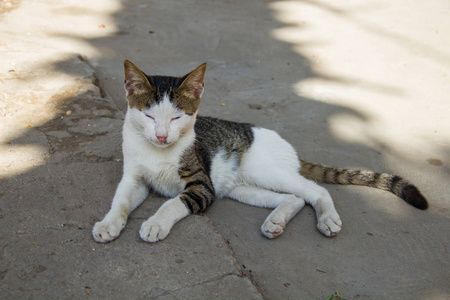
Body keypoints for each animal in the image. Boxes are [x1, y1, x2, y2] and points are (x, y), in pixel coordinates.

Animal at [92, 61, 428, 244]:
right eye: (148, 116)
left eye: (177, 118)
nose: (162, 136)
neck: (157, 152)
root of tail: (290, 149)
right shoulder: (134, 177)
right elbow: (121, 200)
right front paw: (109, 223)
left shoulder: (202, 184)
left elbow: (173, 203)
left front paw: (156, 223)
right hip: (241, 186)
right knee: (293, 198)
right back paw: (276, 221)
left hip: (264, 171)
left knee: (314, 190)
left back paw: (328, 218)